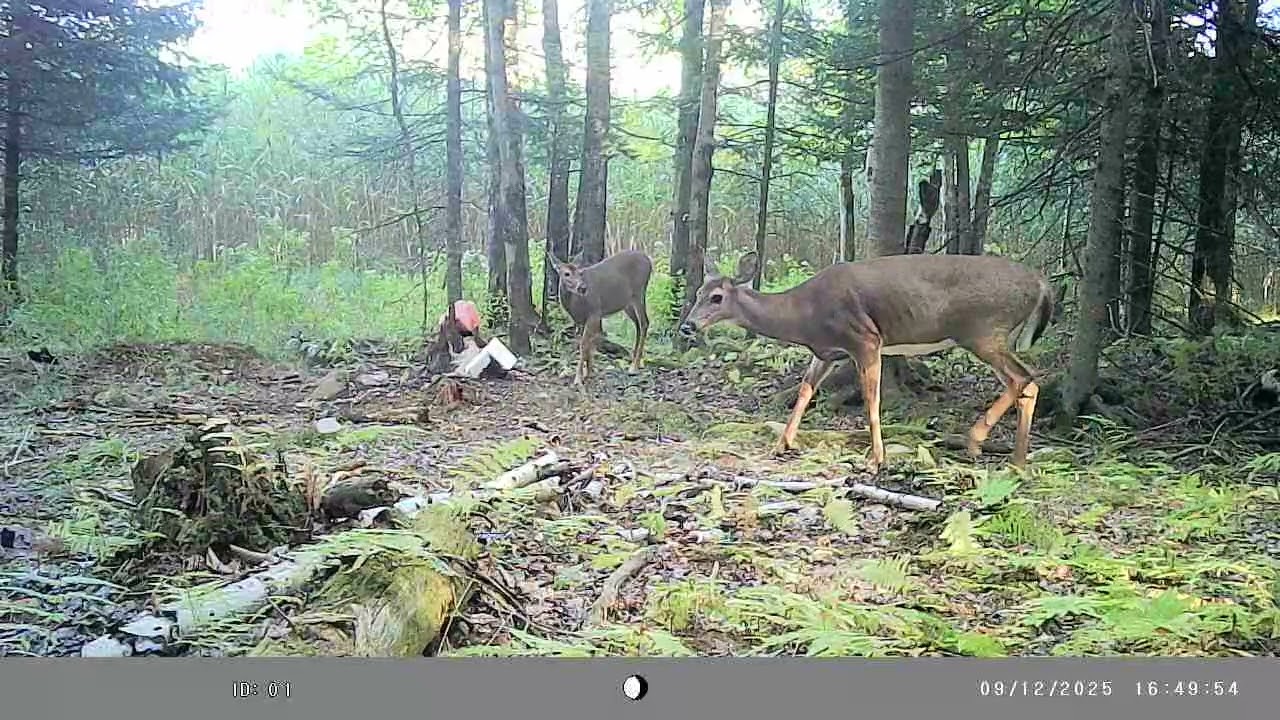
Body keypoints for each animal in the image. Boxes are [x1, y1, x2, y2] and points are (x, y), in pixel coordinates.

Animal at [547, 249, 653, 387]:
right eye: (567, 274)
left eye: (580, 273)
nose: (582, 287)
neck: (576, 306)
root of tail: (648, 260)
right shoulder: (582, 321)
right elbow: (588, 343)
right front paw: (588, 372)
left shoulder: (595, 312)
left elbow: (584, 344)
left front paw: (578, 378)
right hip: (626, 303)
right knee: (638, 325)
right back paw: (635, 360)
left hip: (639, 292)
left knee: (644, 322)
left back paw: (634, 366)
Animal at [679, 251, 1054, 473]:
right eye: (697, 293)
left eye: (717, 297)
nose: (687, 326)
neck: (804, 316)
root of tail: (1042, 282)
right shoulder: (826, 352)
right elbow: (804, 392)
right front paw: (781, 444)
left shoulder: (866, 339)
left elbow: (871, 399)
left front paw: (876, 459)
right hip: (994, 335)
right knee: (1026, 382)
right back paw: (1018, 461)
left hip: (984, 330)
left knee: (1024, 377)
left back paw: (976, 441)